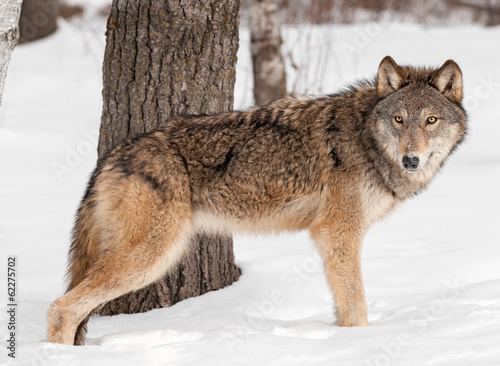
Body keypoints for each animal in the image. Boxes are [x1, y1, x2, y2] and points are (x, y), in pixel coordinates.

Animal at [46, 55, 464, 344]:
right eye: (398, 120)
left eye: (430, 120)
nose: (411, 159)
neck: (366, 139)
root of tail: (112, 155)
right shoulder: (337, 233)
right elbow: (356, 305)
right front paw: (361, 343)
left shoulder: (335, 238)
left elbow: (344, 306)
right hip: (150, 258)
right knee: (61, 308)